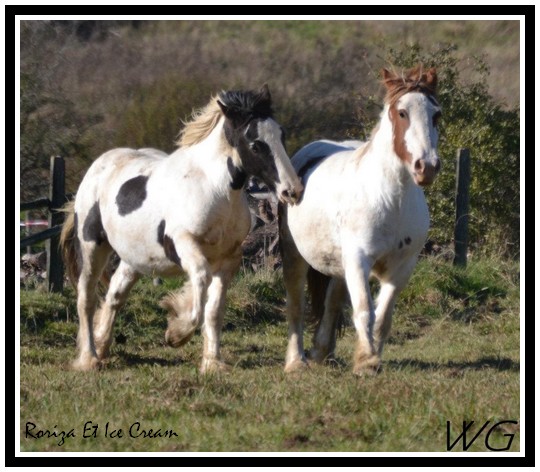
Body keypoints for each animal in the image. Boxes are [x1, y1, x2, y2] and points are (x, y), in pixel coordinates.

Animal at [61, 85, 304, 372]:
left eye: (281, 135)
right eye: (255, 144)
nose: (292, 190)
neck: (214, 189)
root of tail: (98, 167)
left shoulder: (229, 258)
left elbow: (214, 310)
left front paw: (212, 363)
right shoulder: (184, 244)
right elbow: (200, 279)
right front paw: (176, 333)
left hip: (134, 257)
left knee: (114, 296)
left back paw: (102, 346)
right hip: (92, 246)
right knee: (86, 299)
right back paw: (89, 358)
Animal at [280, 66, 440, 376]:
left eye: (436, 114)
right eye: (402, 113)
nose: (426, 167)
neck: (391, 198)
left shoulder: (403, 266)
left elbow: (383, 315)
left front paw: (372, 357)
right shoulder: (358, 260)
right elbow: (365, 309)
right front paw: (366, 362)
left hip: (339, 266)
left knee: (331, 304)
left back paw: (322, 353)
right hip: (295, 256)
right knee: (295, 306)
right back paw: (296, 363)